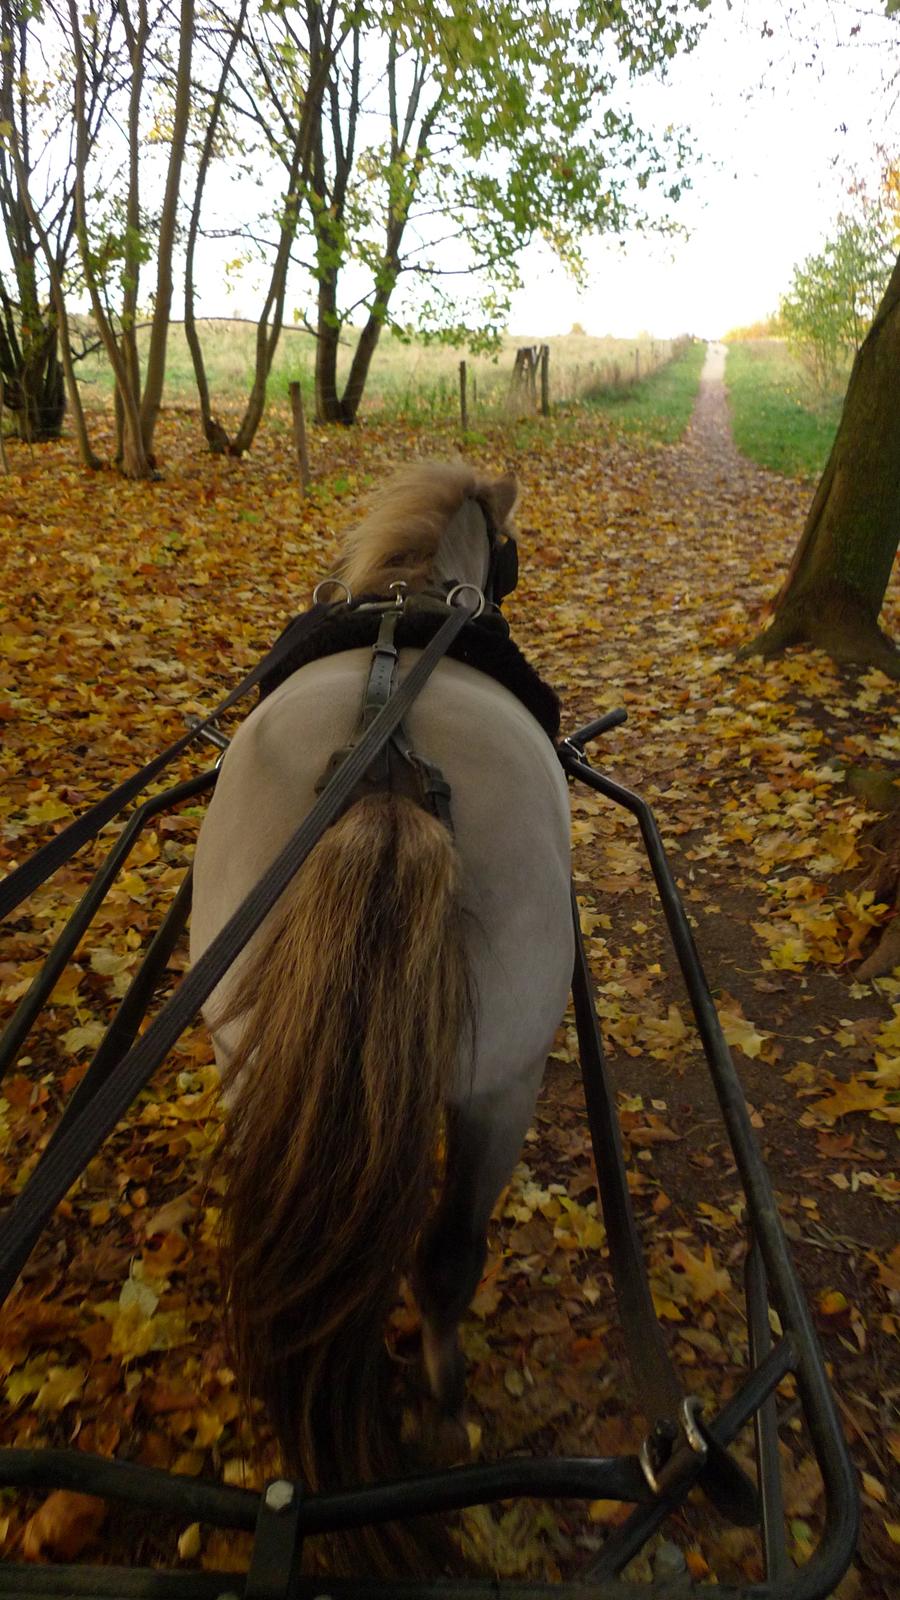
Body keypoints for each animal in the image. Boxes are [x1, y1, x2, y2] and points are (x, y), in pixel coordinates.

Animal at [189, 460, 570, 1523]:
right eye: (513, 547)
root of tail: (386, 767)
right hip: (504, 1083)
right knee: (447, 1261)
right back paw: (444, 1402)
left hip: (253, 1063)